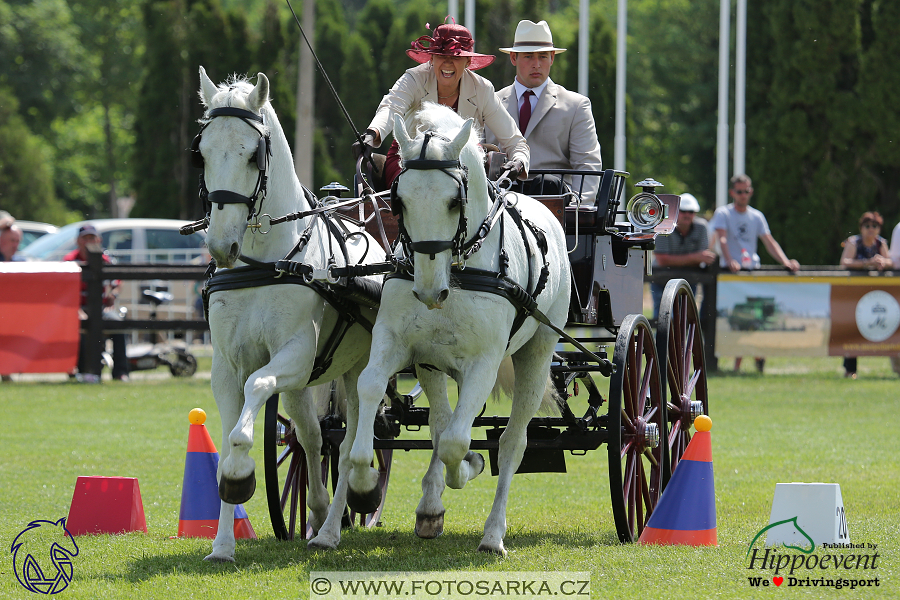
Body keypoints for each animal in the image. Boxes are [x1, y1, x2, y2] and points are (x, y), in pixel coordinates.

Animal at [197, 68, 380, 560]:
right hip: (307, 384)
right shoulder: (226, 366)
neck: (262, 263)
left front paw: (239, 473)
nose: (221, 246)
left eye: (252, 154)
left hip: (357, 370)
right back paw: (316, 511)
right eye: (202, 152)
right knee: (313, 436)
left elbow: (255, 394)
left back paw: (337, 522)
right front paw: (222, 545)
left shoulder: (294, 354)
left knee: (351, 440)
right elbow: (229, 436)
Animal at [348, 104, 572, 556]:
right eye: (398, 201)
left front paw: (468, 466)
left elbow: (457, 443)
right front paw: (363, 485)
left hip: (537, 353)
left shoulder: (484, 364)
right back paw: (430, 507)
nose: (428, 291)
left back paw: (493, 533)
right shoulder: (398, 344)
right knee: (441, 423)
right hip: (433, 364)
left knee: (511, 442)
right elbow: (372, 389)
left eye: (455, 201)